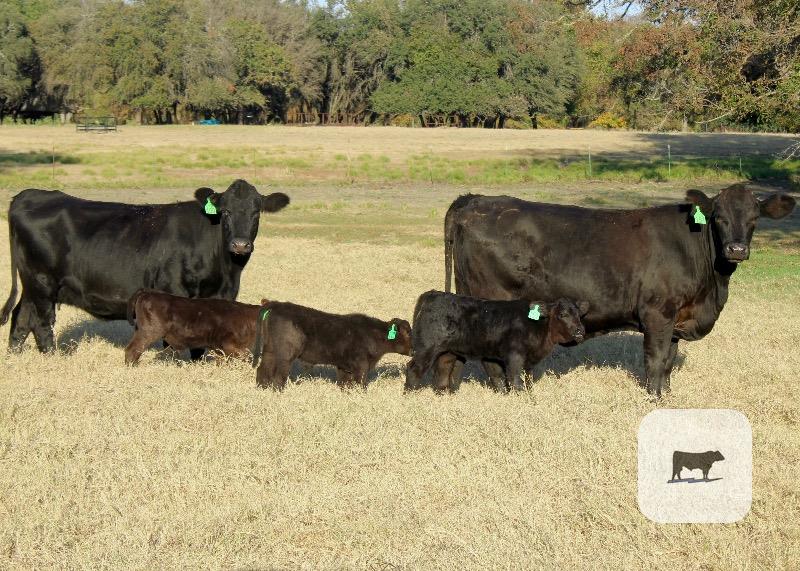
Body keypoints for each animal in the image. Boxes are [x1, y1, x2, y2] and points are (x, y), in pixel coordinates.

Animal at [1, 179, 289, 356]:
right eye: (225, 212)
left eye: (256, 213)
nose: (240, 245)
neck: (226, 271)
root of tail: (28, 195)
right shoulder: (175, 293)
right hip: (42, 282)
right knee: (41, 324)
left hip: (32, 285)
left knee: (21, 319)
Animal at [251, 301, 412, 390]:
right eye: (408, 333)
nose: (414, 350)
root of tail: (276, 304)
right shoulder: (361, 365)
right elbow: (360, 384)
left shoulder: (344, 366)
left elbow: (345, 384)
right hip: (286, 355)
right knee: (279, 376)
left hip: (269, 351)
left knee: (262, 370)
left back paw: (262, 389)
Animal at [405, 290, 588, 393]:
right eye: (562, 314)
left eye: (579, 314)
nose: (580, 330)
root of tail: (433, 294)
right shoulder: (514, 357)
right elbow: (515, 381)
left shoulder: (528, 362)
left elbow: (526, 381)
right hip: (426, 349)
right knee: (414, 370)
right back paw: (410, 396)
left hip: (447, 352)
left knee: (442, 372)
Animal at [444, 184, 795, 398]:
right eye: (718, 217)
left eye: (754, 218)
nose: (737, 249)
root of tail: (473, 200)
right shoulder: (657, 313)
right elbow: (655, 360)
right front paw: (654, 398)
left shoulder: (676, 319)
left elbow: (669, 361)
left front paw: (667, 395)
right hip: (493, 300)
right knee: (490, 357)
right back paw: (507, 392)